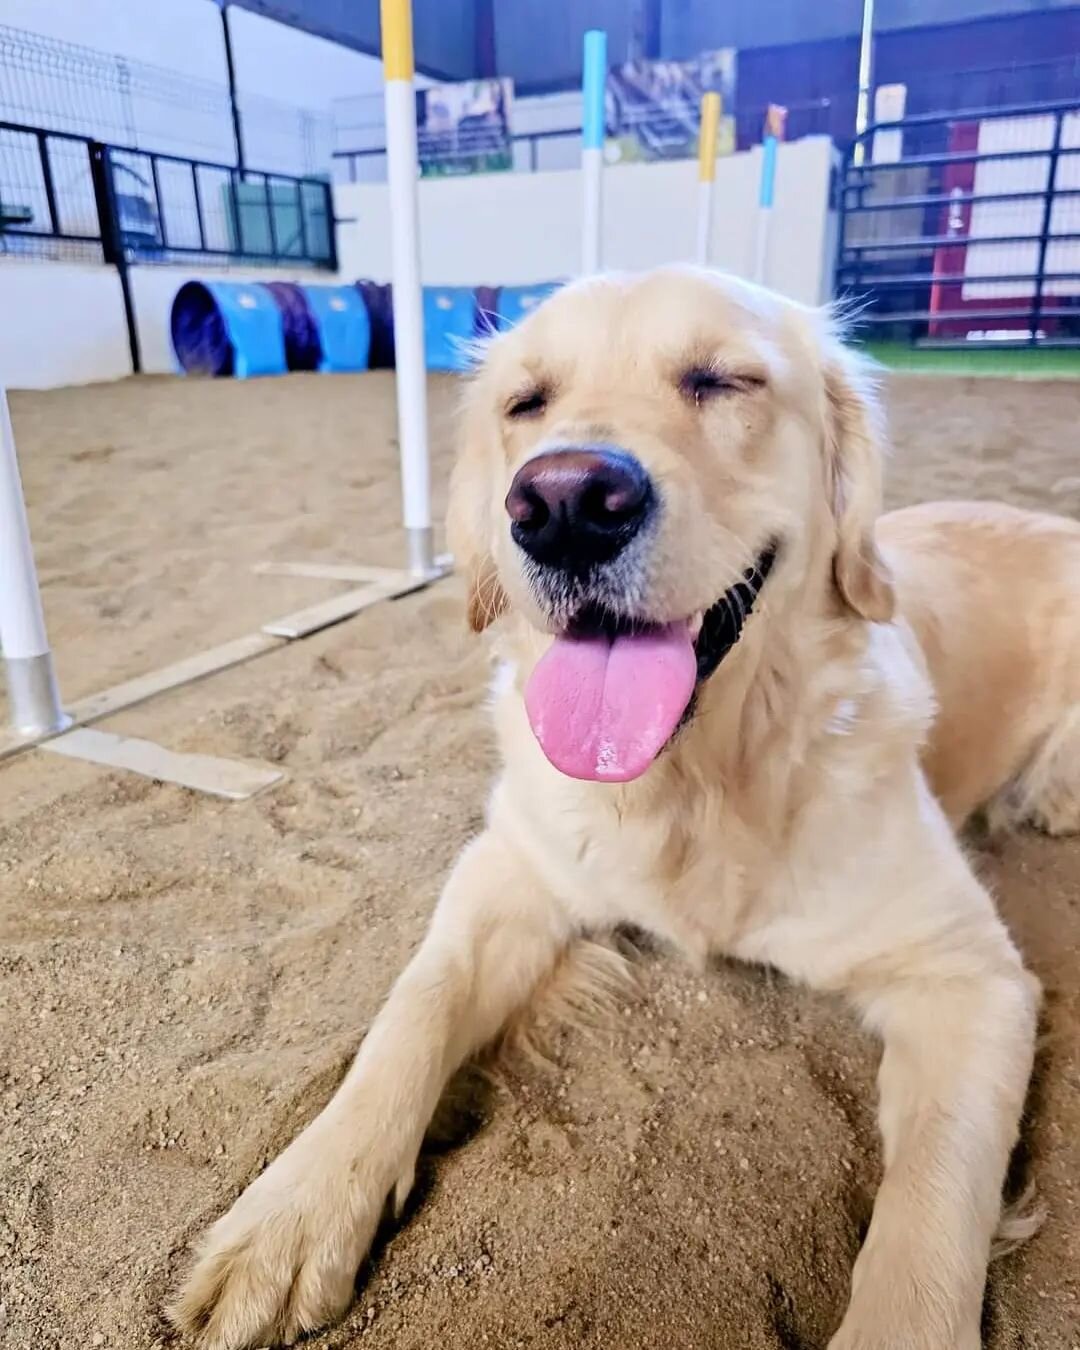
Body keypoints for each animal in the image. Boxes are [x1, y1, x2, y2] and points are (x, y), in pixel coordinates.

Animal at [170, 268, 1080, 1344]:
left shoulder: (970, 978)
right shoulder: (509, 868)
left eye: (723, 380)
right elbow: (416, 1004)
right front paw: (295, 1211)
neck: (693, 786)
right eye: (526, 402)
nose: (563, 503)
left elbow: (930, 1205)